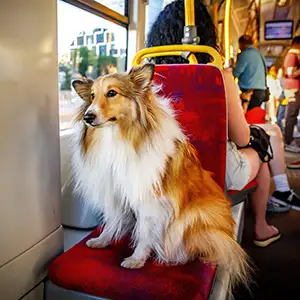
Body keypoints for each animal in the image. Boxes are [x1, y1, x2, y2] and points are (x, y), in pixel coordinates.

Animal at [71, 63, 250, 290]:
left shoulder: (150, 200)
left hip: (193, 217)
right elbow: (113, 220)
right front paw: (102, 240)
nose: (88, 116)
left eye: (112, 93)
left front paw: (136, 259)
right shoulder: (116, 194)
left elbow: (145, 232)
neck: (118, 137)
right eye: (92, 96)